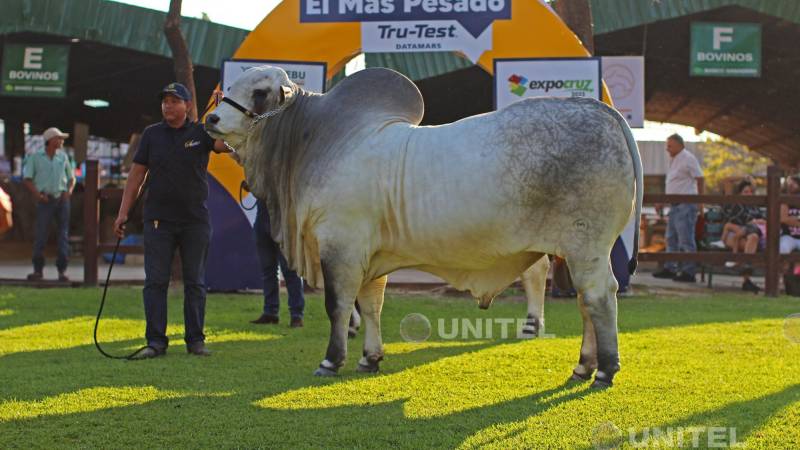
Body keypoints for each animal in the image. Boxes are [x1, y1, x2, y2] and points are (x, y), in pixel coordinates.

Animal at [206, 66, 644, 386]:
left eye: (260, 91)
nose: (210, 117)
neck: (312, 142)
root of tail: (601, 112)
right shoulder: (370, 255)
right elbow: (371, 305)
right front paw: (370, 358)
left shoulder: (340, 246)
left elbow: (338, 306)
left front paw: (332, 361)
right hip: (577, 250)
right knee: (585, 301)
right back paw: (584, 365)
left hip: (588, 246)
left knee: (599, 297)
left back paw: (604, 369)